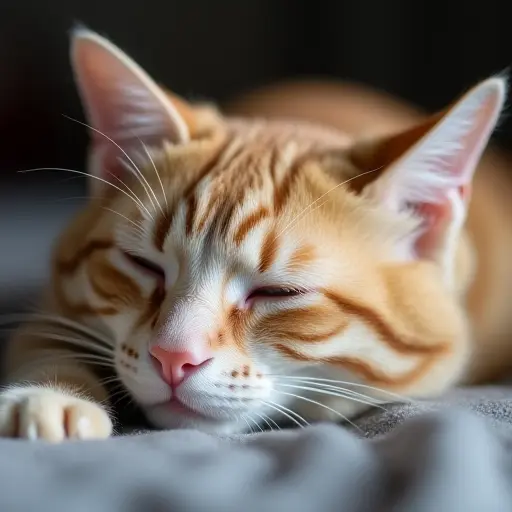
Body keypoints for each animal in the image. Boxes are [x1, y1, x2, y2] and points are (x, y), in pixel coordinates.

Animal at [2, 28, 510, 442]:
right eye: (142, 264)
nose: (172, 357)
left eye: (279, 292)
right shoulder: (52, 306)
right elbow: (40, 340)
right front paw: (50, 394)